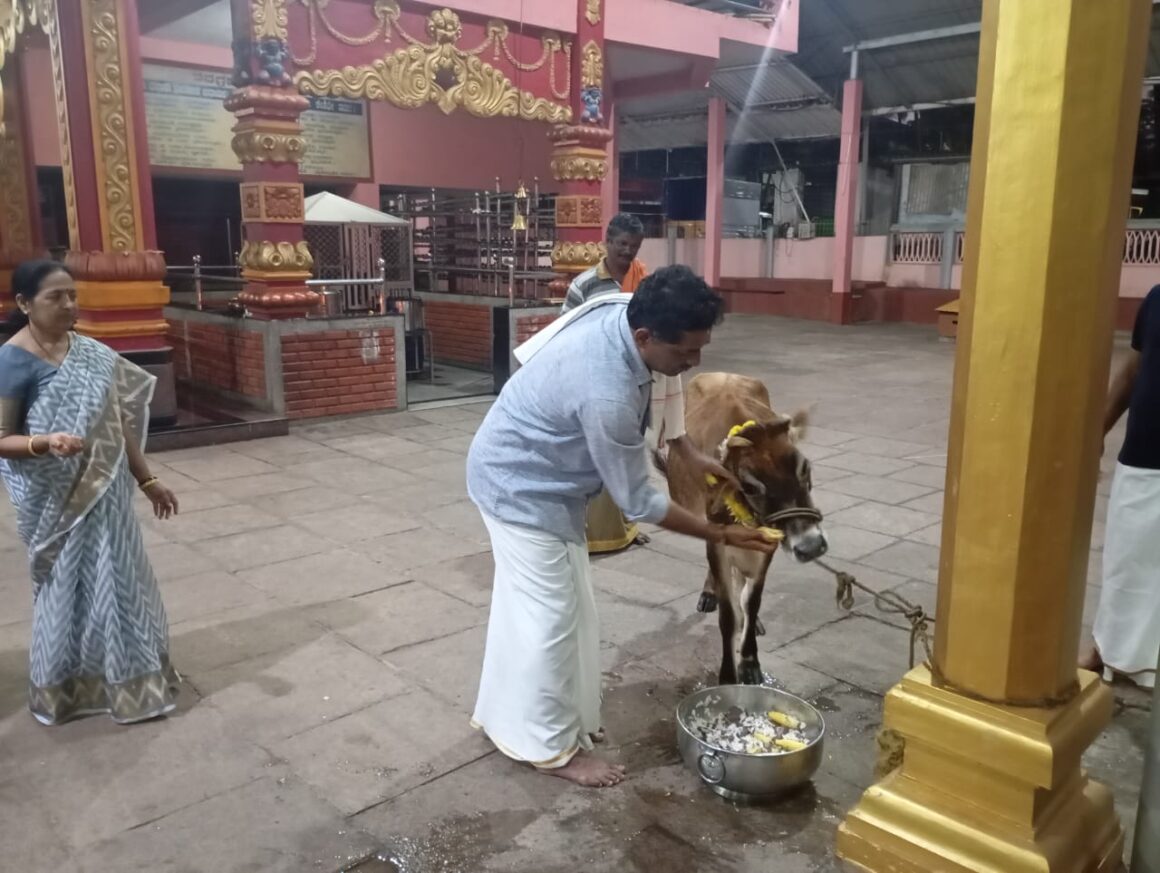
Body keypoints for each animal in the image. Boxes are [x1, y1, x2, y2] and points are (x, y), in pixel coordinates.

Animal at [663, 370, 825, 686]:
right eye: (750, 486)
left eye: (805, 468)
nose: (810, 546)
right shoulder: (717, 535)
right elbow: (728, 613)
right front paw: (728, 674)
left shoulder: (769, 541)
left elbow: (752, 601)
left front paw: (749, 660)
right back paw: (709, 593)